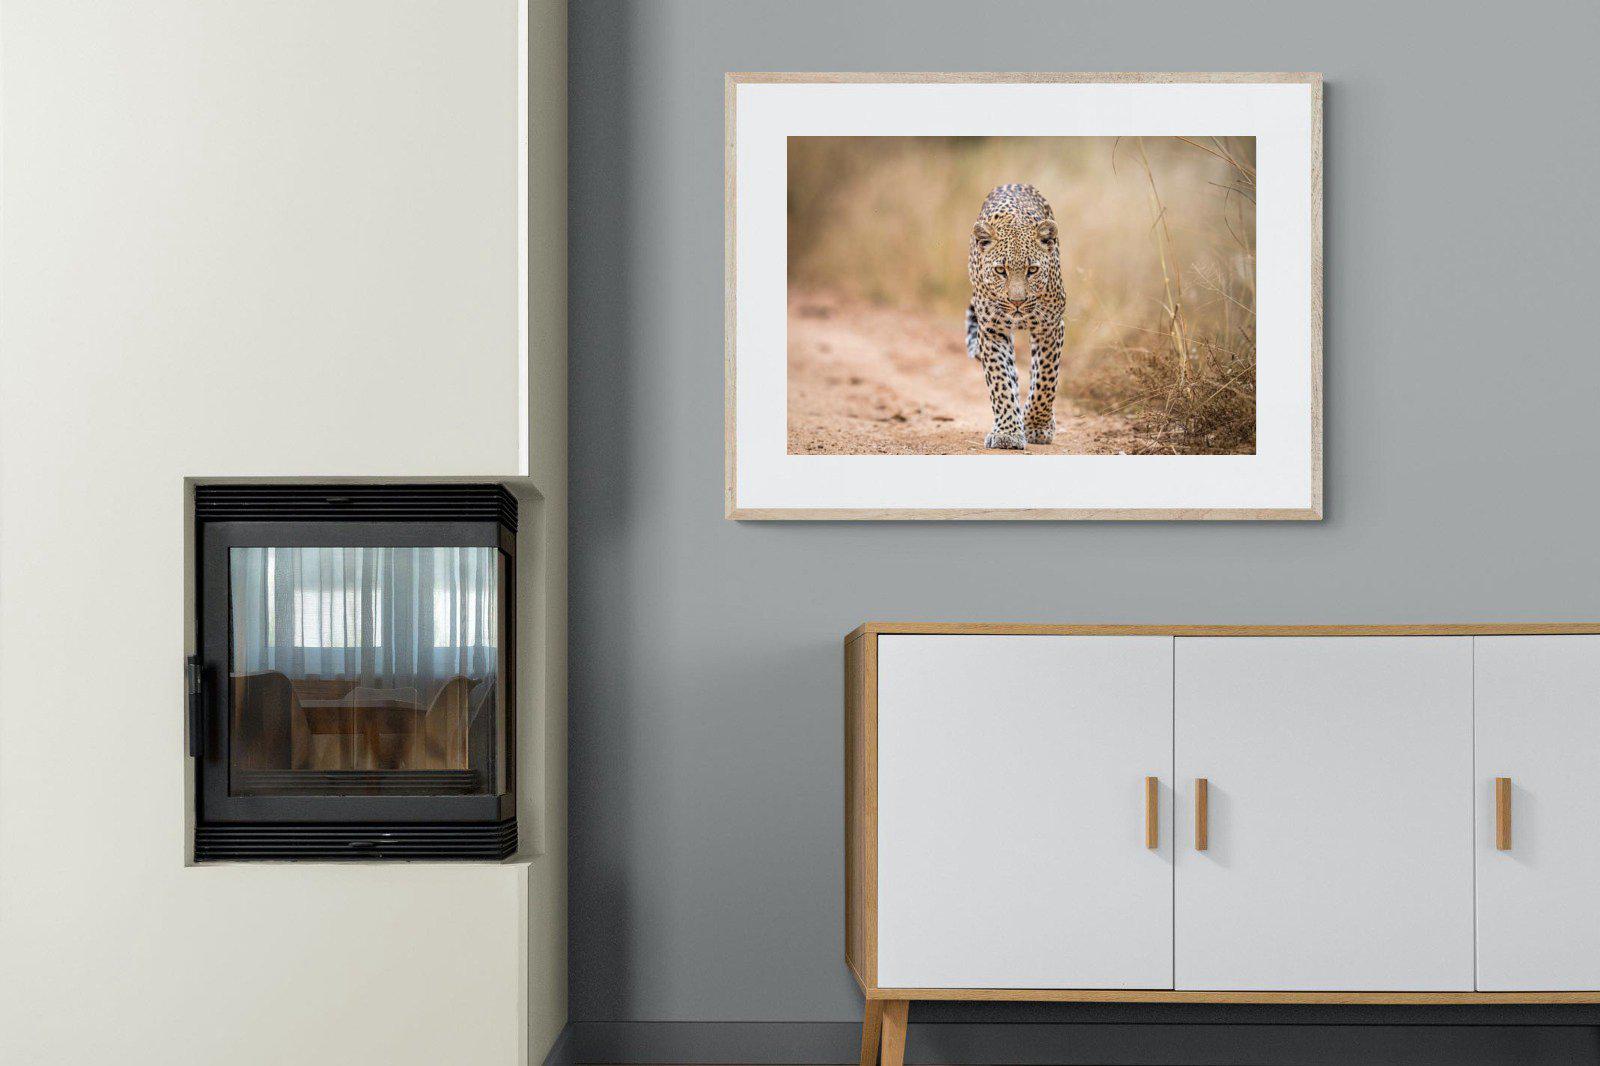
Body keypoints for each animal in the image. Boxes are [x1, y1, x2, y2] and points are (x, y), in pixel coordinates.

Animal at [965, 183, 1066, 450]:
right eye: (1001, 270)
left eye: (1033, 270)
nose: (1017, 302)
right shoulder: (992, 330)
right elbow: (1000, 381)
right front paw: (1008, 433)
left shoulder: (1050, 326)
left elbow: (1045, 380)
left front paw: (1037, 426)